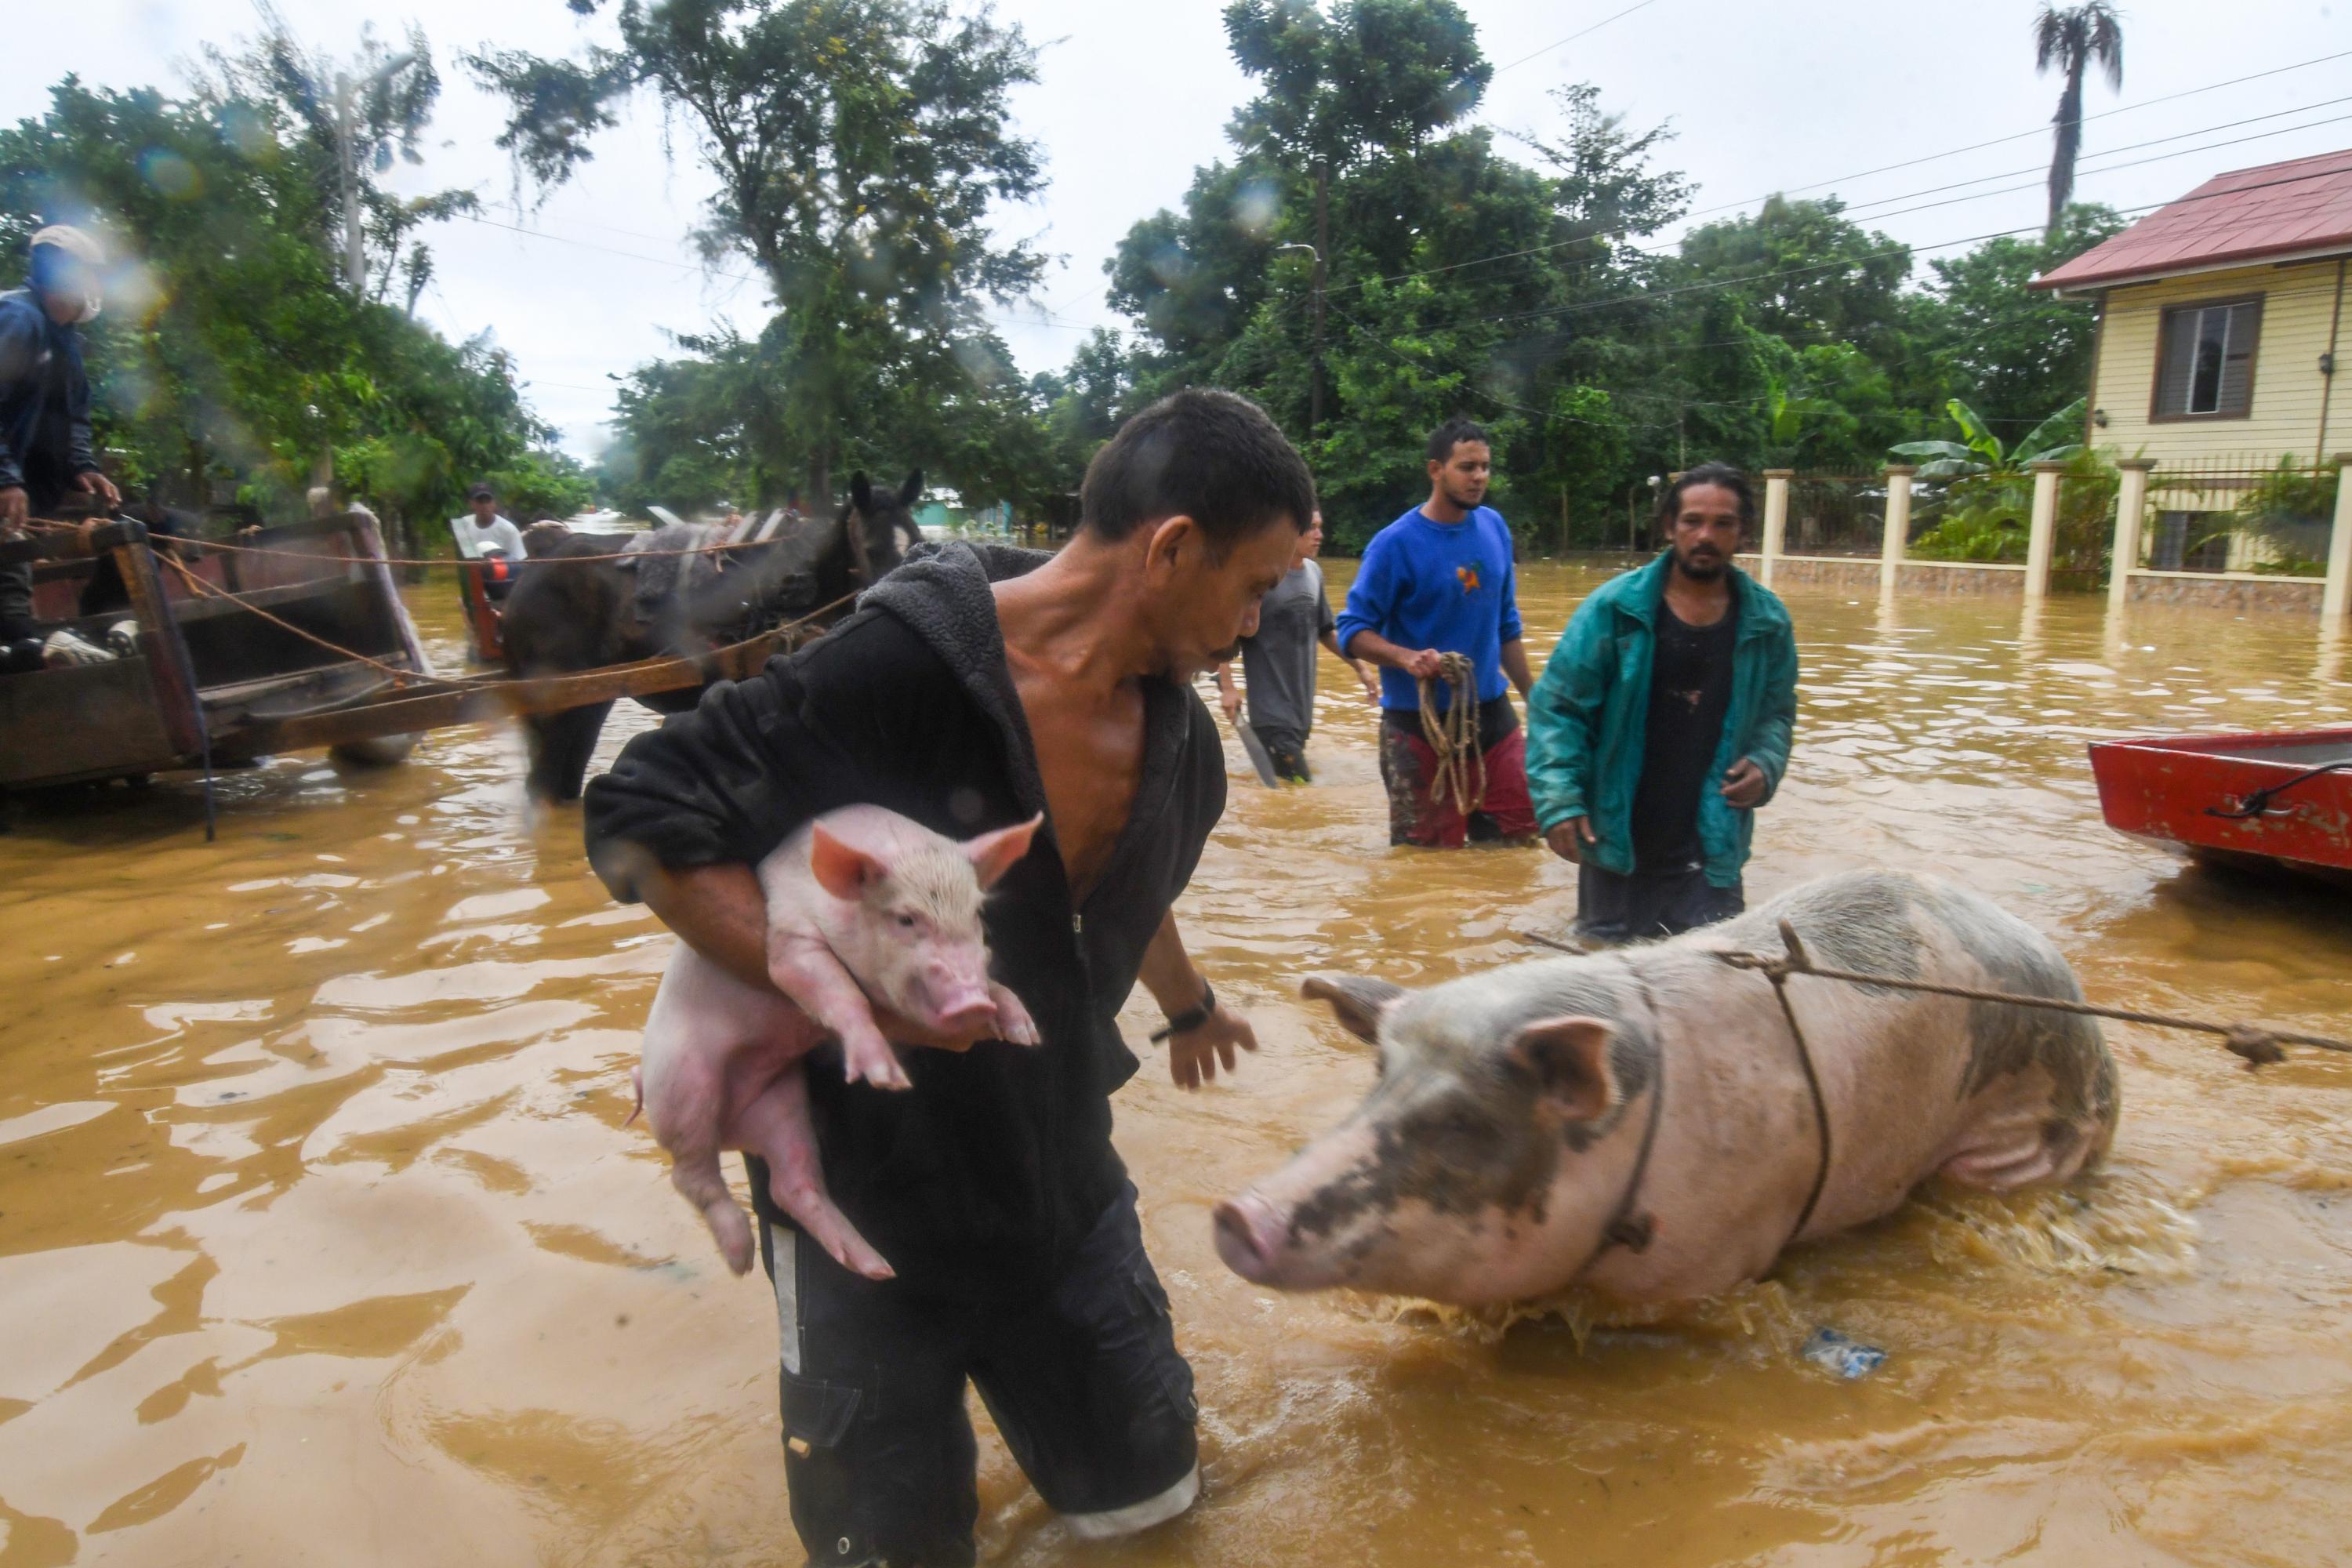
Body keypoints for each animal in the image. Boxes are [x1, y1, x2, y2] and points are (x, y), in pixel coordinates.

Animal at [644, 808, 1049, 1288]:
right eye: (905, 919)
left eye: (977, 913)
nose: (972, 1002)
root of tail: (731, 1130)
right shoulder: (790, 939)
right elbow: (841, 992)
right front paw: (887, 1079)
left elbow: (995, 980)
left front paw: (1024, 1033)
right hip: (681, 1082)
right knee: (688, 1172)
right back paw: (741, 1262)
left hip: (782, 1102)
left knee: (792, 1184)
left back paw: (877, 1268)